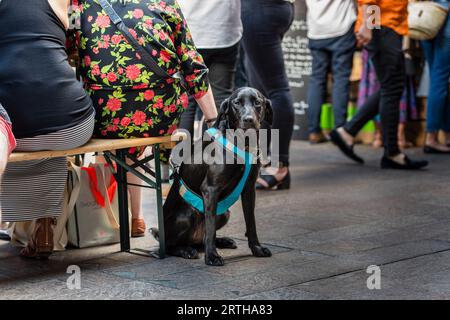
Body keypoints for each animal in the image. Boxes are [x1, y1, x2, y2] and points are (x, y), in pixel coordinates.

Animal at [153, 87, 274, 264]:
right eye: (237, 103)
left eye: (257, 102)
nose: (249, 119)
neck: (242, 144)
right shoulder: (210, 189)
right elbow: (210, 229)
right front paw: (212, 256)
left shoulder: (249, 189)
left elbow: (251, 223)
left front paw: (257, 248)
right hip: (186, 217)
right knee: (168, 246)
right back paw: (185, 250)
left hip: (224, 213)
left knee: (200, 240)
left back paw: (222, 241)